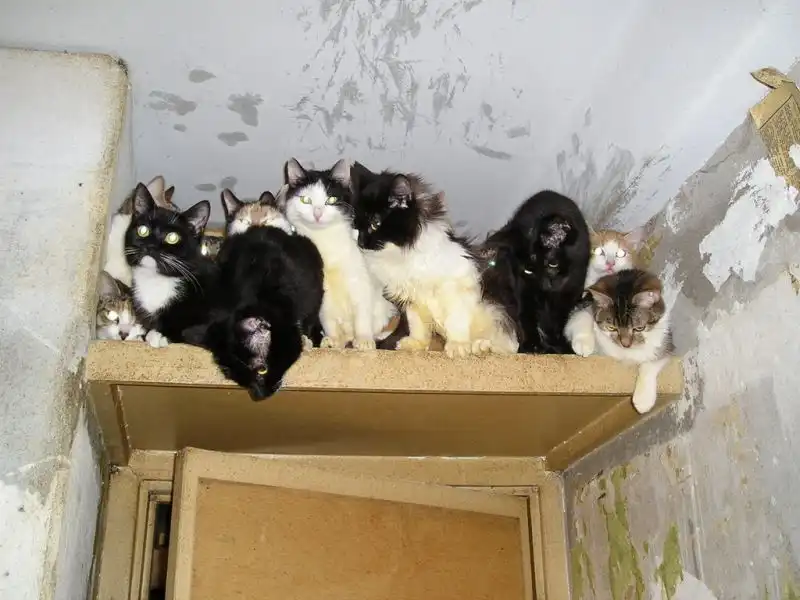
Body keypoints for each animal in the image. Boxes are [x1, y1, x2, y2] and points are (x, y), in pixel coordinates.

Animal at [125, 182, 217, 348]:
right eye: (143, 230)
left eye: (172, 237)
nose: (150, 246)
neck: (156, 279)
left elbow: (193, 332)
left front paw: (158, 335)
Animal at [281, 157, 395, 350]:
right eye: (305, 199)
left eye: (331, 199)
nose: (318, 213)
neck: (326, 241)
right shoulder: (322, 292)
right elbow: (327, 318)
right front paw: (333, 339)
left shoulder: (360, 281)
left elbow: (362, 313)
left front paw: (364, 339)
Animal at [350, 162, 518, 358]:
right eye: (356, 225)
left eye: (375, 224)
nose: (361, 242)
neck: (404, 256)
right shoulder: (411, 300)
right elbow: (417, 326)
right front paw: (415, 345)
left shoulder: (458, 288)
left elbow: (455, 322)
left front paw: (457, 346)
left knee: (508, 347)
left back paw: (482, 347)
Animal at [480, 190, 590, 354]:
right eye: (528, 270)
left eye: (552, 264)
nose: (545, 286)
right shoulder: (524, 285)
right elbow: (526, 313)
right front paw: (533, 344)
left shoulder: (572, 289)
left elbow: (559, 320)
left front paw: (559, 343)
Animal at [564, 268, 674, 414]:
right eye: (612, 327)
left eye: (639, 328)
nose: (625, 344)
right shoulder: (583, 309)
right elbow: (583, 316)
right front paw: (584, 343)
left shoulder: (666, 341)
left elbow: (652, 363)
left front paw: (643, 400)